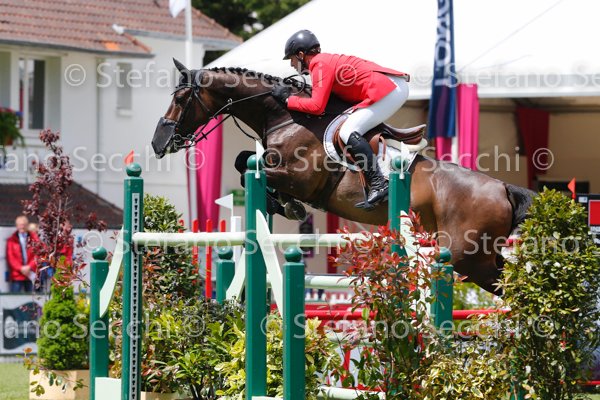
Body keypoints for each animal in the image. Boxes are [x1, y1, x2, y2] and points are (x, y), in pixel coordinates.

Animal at [152, 60, 535, 294]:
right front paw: (284, 205)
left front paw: (288, 205)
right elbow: (244, 162)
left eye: (181, 98)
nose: (158, 143)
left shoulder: (299, 177)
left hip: (466, 258)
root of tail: (503, 187)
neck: (285, 116)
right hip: (482, 257)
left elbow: (253, 171)